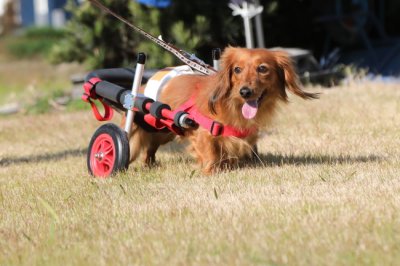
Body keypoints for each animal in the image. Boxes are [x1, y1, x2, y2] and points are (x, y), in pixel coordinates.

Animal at [126, 46, 318, 174]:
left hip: (164, 131)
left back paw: (150, 164)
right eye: (237, 69)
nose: (245, 92)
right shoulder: (203, 132)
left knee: (151, 148)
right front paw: (211, 171)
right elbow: (211, 153)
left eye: (262, 68)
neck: (234, 106)